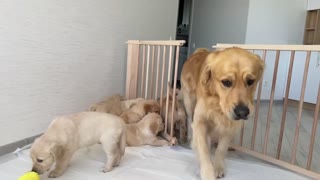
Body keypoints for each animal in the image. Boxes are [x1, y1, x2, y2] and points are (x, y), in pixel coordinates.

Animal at [181, 47, 264, 179]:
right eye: (226, 82)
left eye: (251, 81)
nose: (242, 112)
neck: (218, 103)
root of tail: (199, 51)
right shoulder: (200, 121)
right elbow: (203, 149)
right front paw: (207, 173)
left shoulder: (232, 126)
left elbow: (222, 148)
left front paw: (218, 167)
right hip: (189, 101)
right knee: (190, 121)